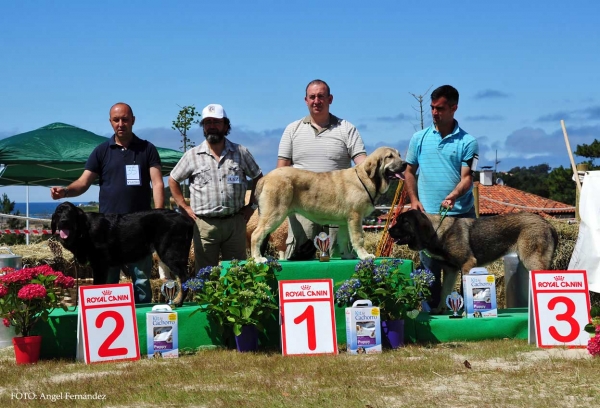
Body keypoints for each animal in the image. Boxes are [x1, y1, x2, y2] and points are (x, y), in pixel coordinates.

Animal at [51, 202, 193, 304]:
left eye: (70, 213)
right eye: (58, 212)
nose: (63, 221)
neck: (84, 230)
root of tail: (186, 220)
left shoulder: (99, 265)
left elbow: (97, 284)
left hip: (170, 253)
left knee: (185, 278)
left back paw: (178, 301)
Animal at [248, 147, 408, 260]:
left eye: (399, 155)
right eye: (389, 157)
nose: (405, 164)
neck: (367, 178)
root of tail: (266, 177)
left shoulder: (345, 221)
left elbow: (344, 239)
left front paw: (347, 256)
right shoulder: (355, 217)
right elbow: (358, 238)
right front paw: (364, 255)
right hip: (275, 213)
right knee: (256, 234)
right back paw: (258, 258)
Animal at [390, 209, 556, 314]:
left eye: (404, 221)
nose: (390, 231)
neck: (437, 231)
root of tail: (548, 223)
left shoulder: (467, 264)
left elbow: (464, 290)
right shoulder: (450, 270)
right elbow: (444, 291)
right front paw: (440, 309)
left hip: (532, 261)